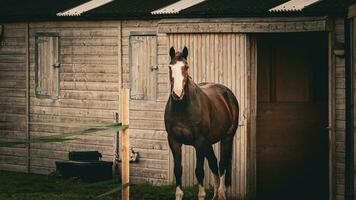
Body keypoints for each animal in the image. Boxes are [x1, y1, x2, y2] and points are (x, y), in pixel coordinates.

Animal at [164, 47, 239, 200]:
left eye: (186, 67)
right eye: (170, 67)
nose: (177, 94)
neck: (182, 108)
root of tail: (228, 94)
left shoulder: (199, 142)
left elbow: (199, 171)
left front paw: (202, 194)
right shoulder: (174, 141)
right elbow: (178, 170)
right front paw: (179, 194)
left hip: (227, 138)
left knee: (222, 165)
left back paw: (221, 193)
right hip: (208, 143)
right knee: (214, 163)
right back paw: (215, 195)